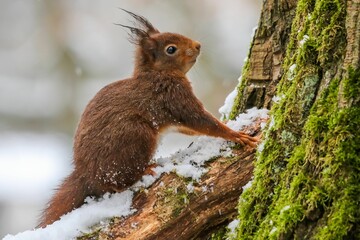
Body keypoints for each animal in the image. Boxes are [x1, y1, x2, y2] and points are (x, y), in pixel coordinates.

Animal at [38, 9, 258, 227]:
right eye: (171, 49)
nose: (198, 45)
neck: (158, 73)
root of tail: (86, 174)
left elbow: (188, 127)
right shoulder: (174, 95)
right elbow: (200, 120)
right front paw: (236, 135)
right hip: (137, 134)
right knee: (116, 183)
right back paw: (143, 172)